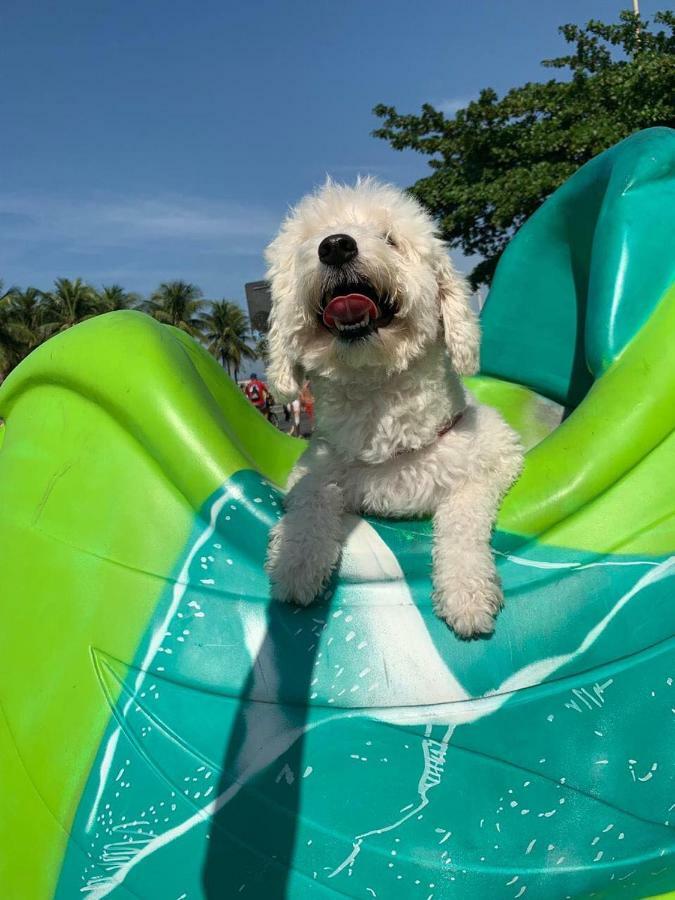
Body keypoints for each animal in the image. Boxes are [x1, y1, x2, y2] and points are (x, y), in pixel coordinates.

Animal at [264, 178, 524, 640]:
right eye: (309, 243)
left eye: (390, 238)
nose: (335, 246)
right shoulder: (316, 465)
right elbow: (311, 498)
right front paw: (296, 559)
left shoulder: (494, 458)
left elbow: (463, 516)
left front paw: (466, 590)